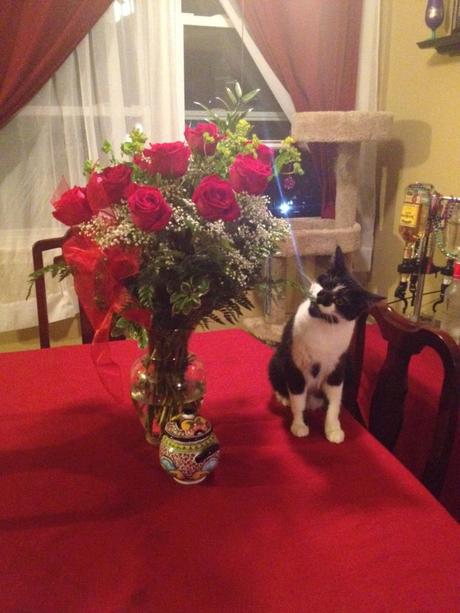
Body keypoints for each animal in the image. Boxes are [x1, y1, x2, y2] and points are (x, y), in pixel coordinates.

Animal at [270, 246, 380, 442]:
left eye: (341, 300)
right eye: (327, 283)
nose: (323, 295)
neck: (322, 326)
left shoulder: (337, 368)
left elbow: (335, 403)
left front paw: (333, 429)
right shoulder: (296, 365)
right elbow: (298, 400)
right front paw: (299, 425)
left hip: (350, 366)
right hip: (276, 360)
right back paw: (284, 397)